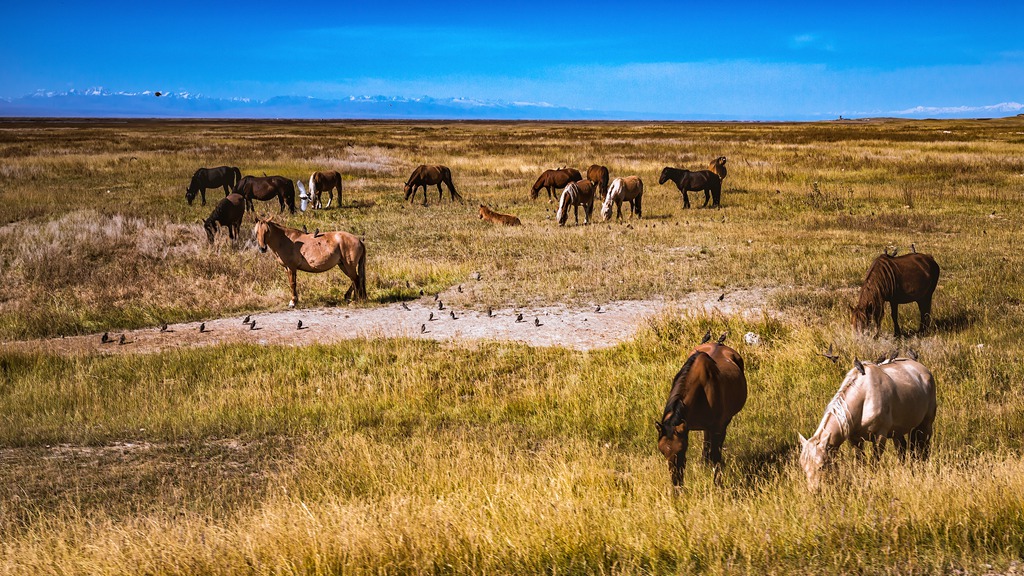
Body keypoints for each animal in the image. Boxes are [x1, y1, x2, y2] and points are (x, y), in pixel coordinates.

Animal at [659, 334, 749, 485]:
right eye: (662, 451)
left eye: (681, 449)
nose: (676, 483)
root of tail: (720, 344)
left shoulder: (716, 428)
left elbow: (715, 456)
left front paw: (718, 482)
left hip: (724, 422)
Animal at [798, 354, 937, 487]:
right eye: (803, 467)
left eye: (822, 466)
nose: (814, 490)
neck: (864, 395)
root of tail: (923, 370)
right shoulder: (855, 440)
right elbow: (862, 463)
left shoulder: (880, 436)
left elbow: (874, 464)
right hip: (898, 432)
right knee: (902, 450)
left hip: (925, 426)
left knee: (923, 450)